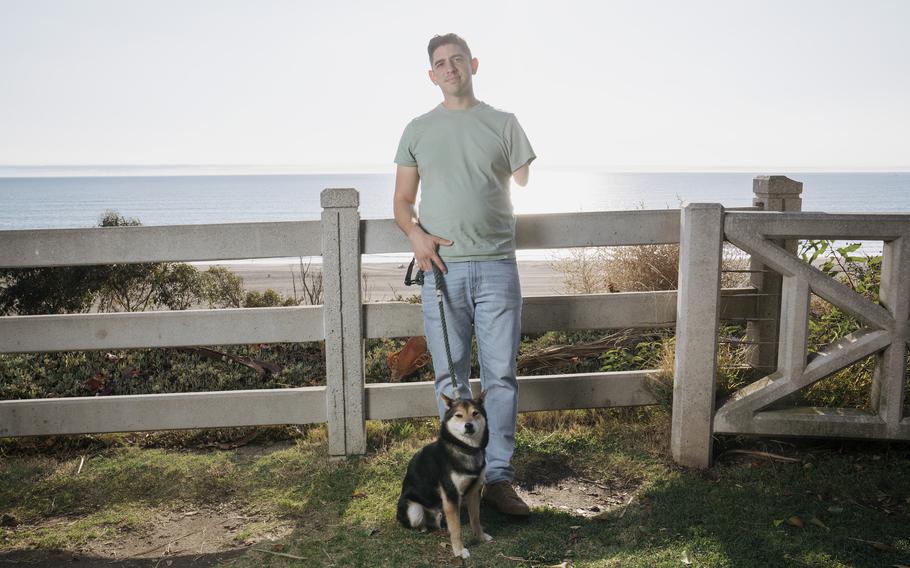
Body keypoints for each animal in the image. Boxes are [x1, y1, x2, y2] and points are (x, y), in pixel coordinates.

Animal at [398, 390, 496, 560]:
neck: (465, 449)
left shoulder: (474, 490)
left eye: (475, 413)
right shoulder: (450, 493)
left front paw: (480, 537)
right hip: (414, 510)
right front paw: (459, 550)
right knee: (416, 522)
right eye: (459, 415)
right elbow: (456, 529)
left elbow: (475, 519)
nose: (468, 425)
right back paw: (423, 528)